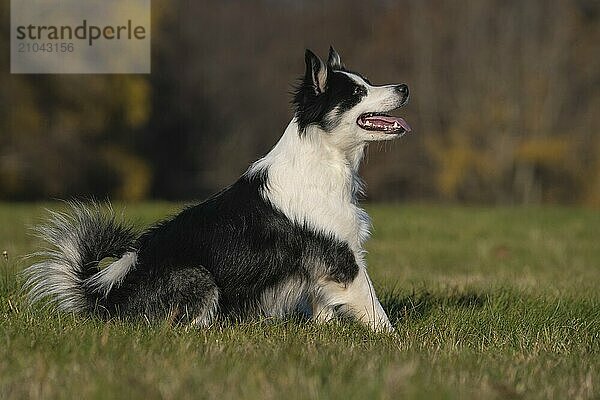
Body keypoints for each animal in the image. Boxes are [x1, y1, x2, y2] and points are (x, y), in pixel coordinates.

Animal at [22, 47, 408, 332]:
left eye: (368, 83)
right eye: (358, 92)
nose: (404, 88)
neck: (325, 158)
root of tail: (106, 299)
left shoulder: (326, 265)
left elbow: (324, 306)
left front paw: (323, 336)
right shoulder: (344, 259)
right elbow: (374, 308)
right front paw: (391, 341)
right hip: (199, 277)